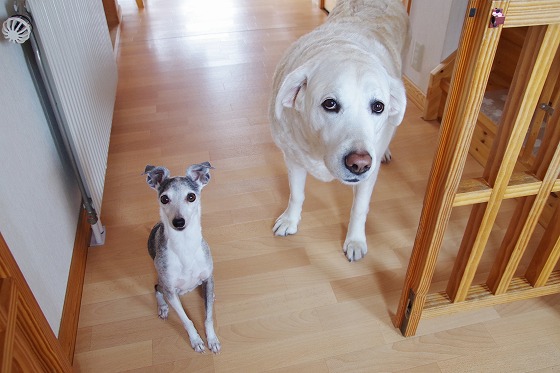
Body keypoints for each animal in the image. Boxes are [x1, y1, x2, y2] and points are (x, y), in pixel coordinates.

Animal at [143, 162, 220, 352]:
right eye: (164, 199)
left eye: (191, 196)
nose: (179, 222)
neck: (185, 246)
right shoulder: (170, 291)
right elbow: (186, 320)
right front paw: (196, 340)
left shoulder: (208, 277)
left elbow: (208, 317)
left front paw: (212, 339)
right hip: (164, 285)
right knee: (157, 288)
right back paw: (163, 307)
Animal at [270, 0, 406, 262]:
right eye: (330, 104)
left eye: (378, 107)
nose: (360, 163)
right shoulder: (292, 158)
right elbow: (296, 194)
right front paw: (290, 220)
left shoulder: (368, 177)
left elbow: (359, 209)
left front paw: (355, 241)